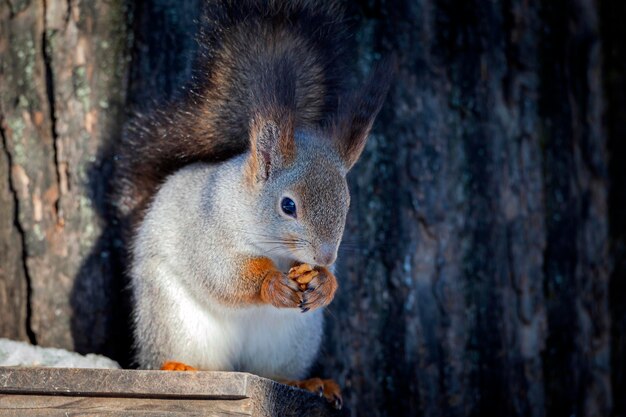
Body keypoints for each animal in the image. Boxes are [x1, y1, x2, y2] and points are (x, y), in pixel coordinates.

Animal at [112, 0, 390, 408]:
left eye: (347, 204)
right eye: (288, 206)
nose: (325, 256)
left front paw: (325, 281)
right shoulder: (207, 230)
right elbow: (223, 273)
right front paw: (271, 283)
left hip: (293, 338)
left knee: (272, 373)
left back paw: (310, 382)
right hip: (173, 319)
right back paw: (177, 366)